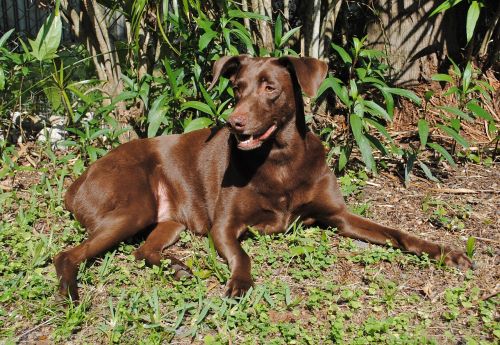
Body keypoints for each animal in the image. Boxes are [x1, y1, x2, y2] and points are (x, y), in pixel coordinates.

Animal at [55, 55, 472, 300]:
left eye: (270, 87)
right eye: (237, 88)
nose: (233, 123)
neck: (282, 158)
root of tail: (77, 182)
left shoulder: (338, 216)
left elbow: (397, 234)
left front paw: (445, 251)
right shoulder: (224, 225)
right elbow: (243, 255)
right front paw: (240, 284)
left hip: (169, 221)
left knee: (143, 250)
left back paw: (175, 268)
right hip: (133, 207)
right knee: (67, 254)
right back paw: (71, 294)